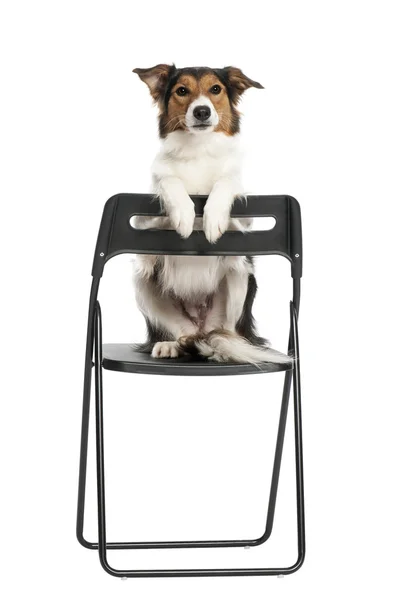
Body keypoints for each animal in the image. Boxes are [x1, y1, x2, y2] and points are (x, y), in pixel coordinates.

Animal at [131, 65, 290, 366]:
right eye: (182, 91)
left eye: (215, 89)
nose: (202, 111)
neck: (198, 150)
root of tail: (202, 330)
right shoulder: (144, 219)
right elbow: (168, 180)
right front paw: (184, 214)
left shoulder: (244, 221)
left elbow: (226, 182)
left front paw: (212, 218)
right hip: (142, 282)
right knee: (179, 330)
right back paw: (171, 345)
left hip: (241, 275)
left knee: (228, 330)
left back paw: (229, 347)